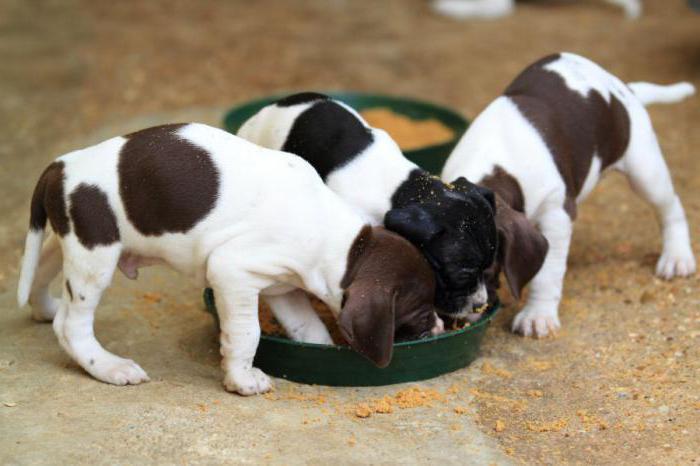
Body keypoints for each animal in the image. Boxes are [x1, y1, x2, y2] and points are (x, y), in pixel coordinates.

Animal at [16, 123, 438, 394]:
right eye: (420, 306)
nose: (436, 327)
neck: (348, 244)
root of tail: (61, 166)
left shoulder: (283, 288)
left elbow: (309, 329)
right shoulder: (232, 271)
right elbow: (246, 332)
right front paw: (242, 380)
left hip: (70, 240)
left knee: (42, 270)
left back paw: (45, 308)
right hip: (96, 254)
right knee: (72, 325)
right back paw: (108, 366)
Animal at [442, 52, 696, 336]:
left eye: (482, 269)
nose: (449, 315)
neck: (491, 169)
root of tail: (622, 88)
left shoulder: (557, 215)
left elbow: (547, 272)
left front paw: (537, 315)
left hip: (644, 169)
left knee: (670, 207)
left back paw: (677, 256)